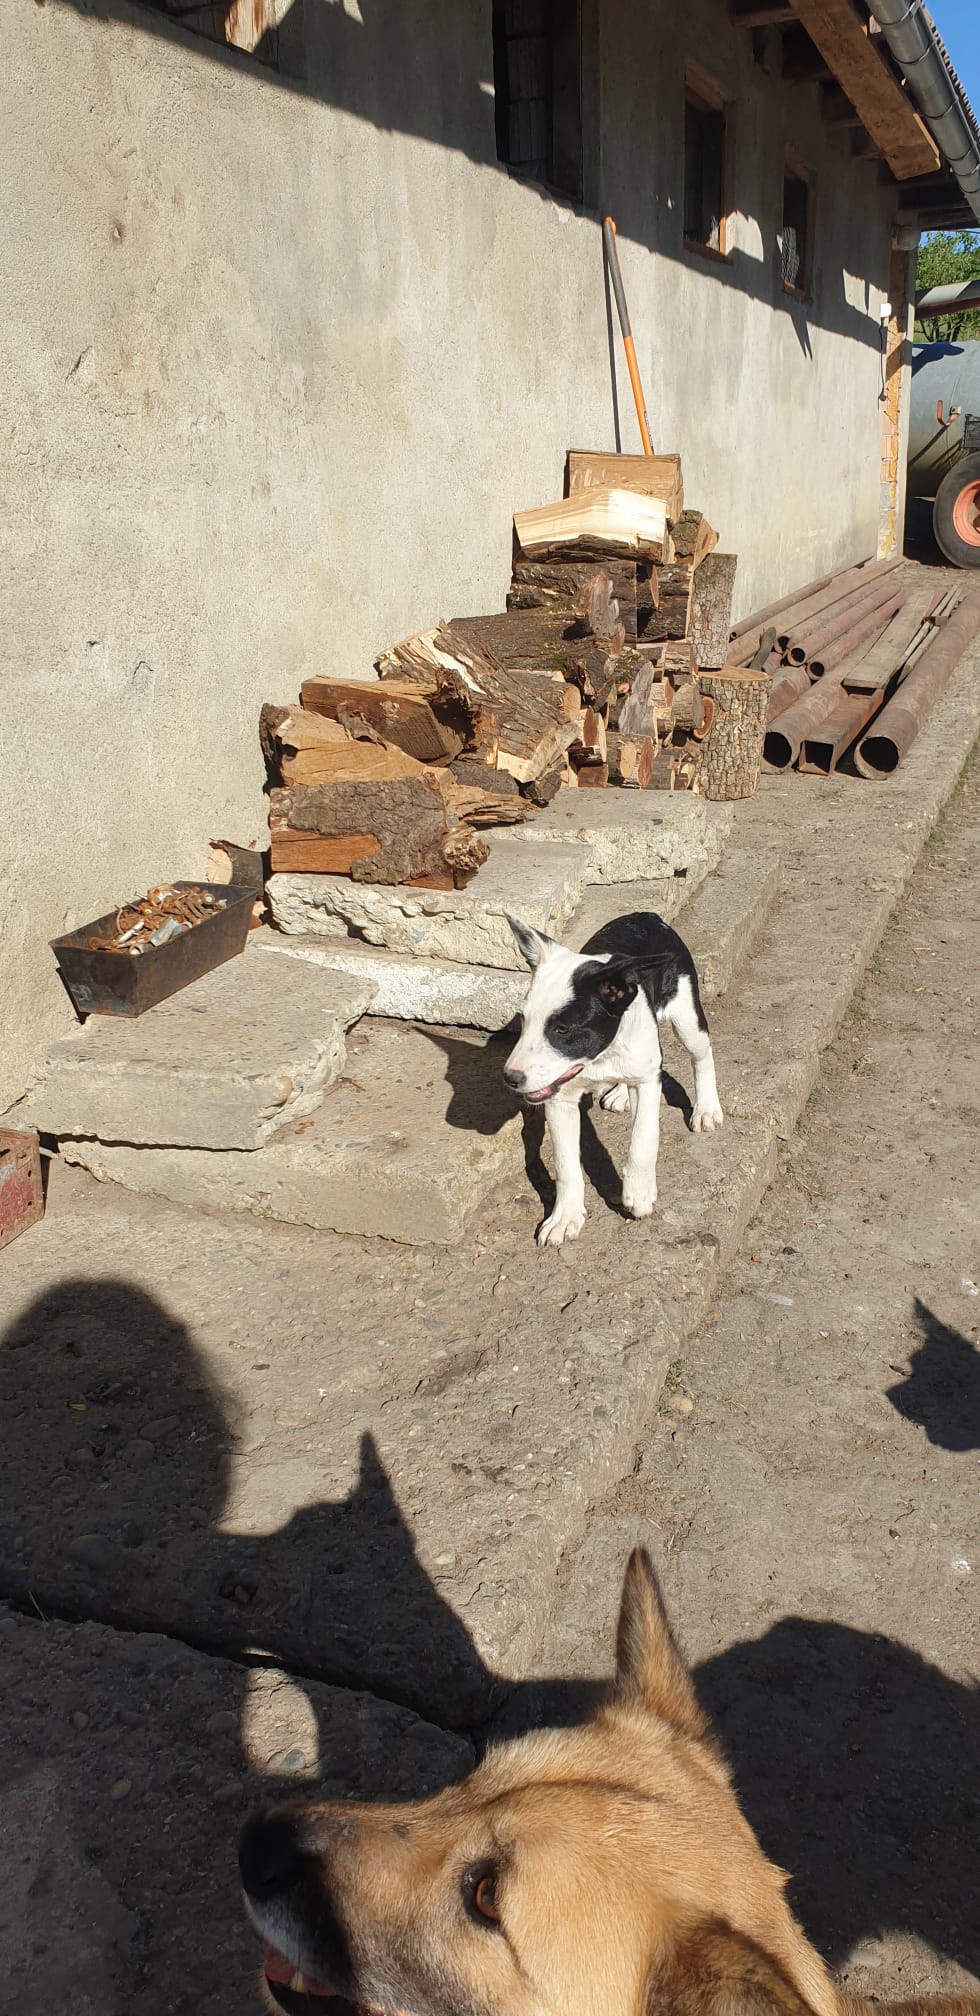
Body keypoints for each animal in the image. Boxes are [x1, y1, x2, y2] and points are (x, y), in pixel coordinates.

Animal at [502, 911, 723, 1247]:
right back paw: (619, 1092)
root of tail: (646, 915)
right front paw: (565, 1217)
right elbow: (566, 1165)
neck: (597, 1059)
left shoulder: (646, 1082)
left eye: (562, 1029)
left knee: (702, 1055)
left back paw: (707, 1109)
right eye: (524, 1021)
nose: (510, 1078)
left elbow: (643, 1140)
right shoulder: (559, 1098)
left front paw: (638, 1193)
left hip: (686, 1016)